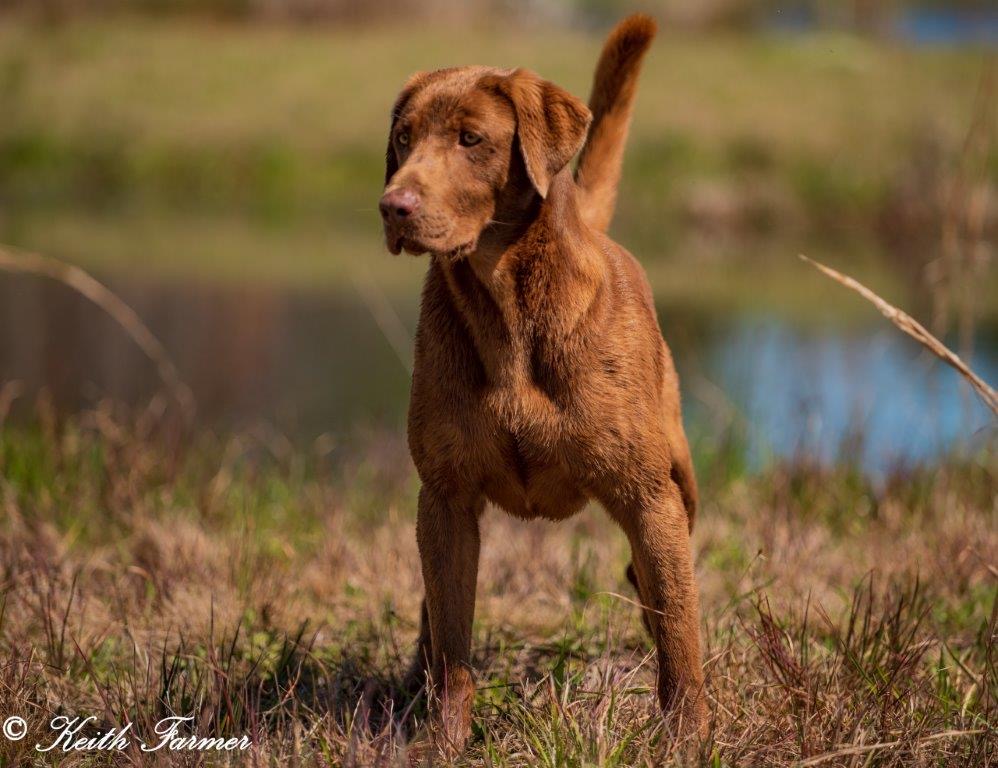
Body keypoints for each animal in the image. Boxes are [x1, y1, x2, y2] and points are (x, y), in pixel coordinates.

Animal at [380, 15, 704, 752]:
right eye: (403, 137)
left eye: (471, 139)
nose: (394, 206)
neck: (508, 307)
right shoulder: (446, 497)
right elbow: (454, 644)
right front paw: (443, 742)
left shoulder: (649, 496)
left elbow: (679, 633)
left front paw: (689, 740)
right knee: (433, 617)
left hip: (682, 480)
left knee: (658, 589)